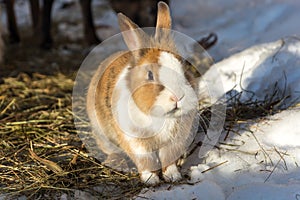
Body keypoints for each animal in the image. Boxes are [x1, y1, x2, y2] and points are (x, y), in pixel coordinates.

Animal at [86, 1, 199, 184]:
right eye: (150, 75)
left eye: (184, 69)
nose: (177, 97)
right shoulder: (135, 142)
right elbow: (145, 161)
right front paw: (151, 180)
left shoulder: (173, 142)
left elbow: (168, 159)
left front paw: (173, 176)